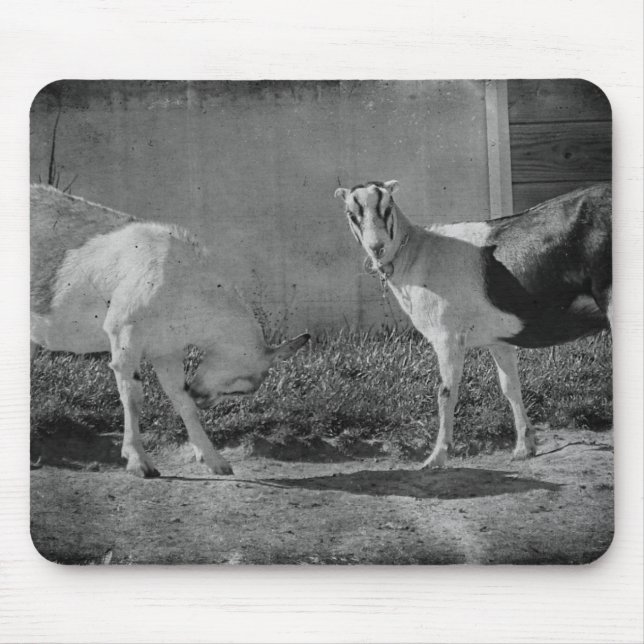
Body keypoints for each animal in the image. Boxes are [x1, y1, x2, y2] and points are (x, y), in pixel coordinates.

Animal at [31, 184, 310, 477]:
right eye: (240, 389)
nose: (203, 400)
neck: (180, 279)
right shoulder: (125, 331)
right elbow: (133, 396)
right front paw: (139, 461)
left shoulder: (167, 348)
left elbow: (180, 398)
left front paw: (214, 460)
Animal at [335, 180, 611, 467]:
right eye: (351, 214)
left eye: (388, 207)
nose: (377, 246)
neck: (417, 254)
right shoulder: (499, 338)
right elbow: (510, 387)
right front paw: (524, 446)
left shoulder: (447, 336)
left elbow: (446, 393)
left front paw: (436, 456)